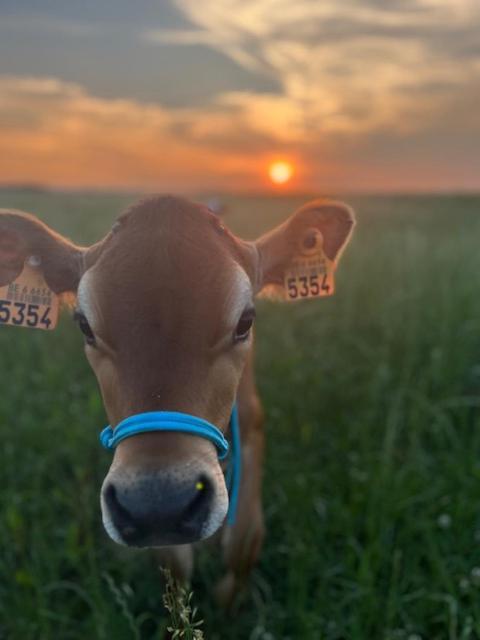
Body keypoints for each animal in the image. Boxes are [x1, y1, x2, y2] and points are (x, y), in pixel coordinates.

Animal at [0, 195, 352, 600]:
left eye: (246, 321)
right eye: (84, 325)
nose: (158, 504)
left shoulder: (252, 425)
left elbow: (244, 539)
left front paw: (228, 601)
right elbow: (175, 565)